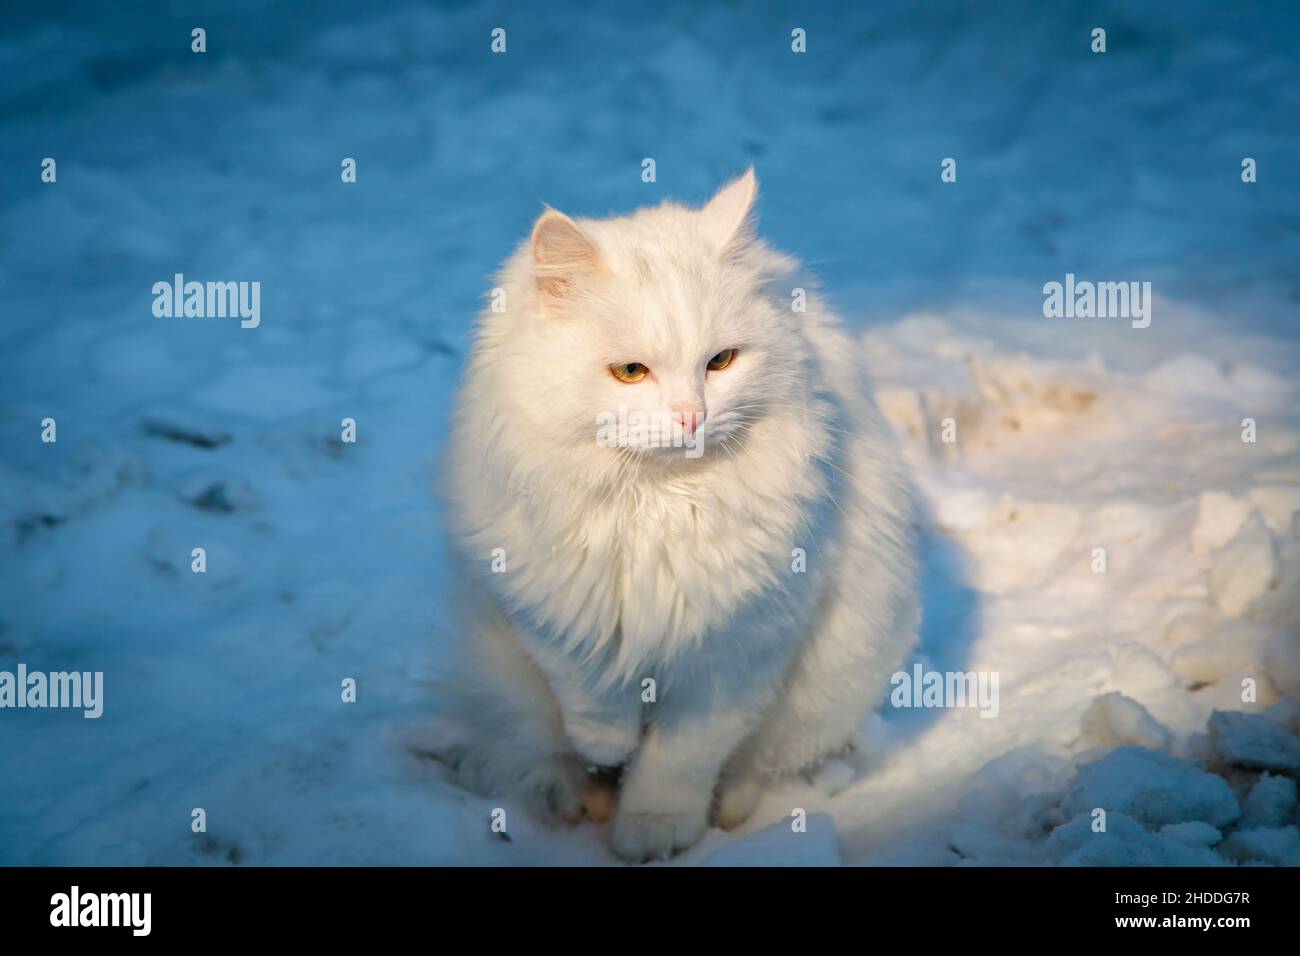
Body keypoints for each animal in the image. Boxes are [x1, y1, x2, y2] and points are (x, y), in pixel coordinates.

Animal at [441, 167, 920, 863]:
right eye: (629, 372)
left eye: (720, 362)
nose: (692, 416)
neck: (660, 506)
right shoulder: (547, 614)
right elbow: (593, 700)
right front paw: (608, 749)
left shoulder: (740, 652)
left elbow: (679, 759)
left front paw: (654, 830)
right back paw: (578, 795)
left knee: (757, 767)